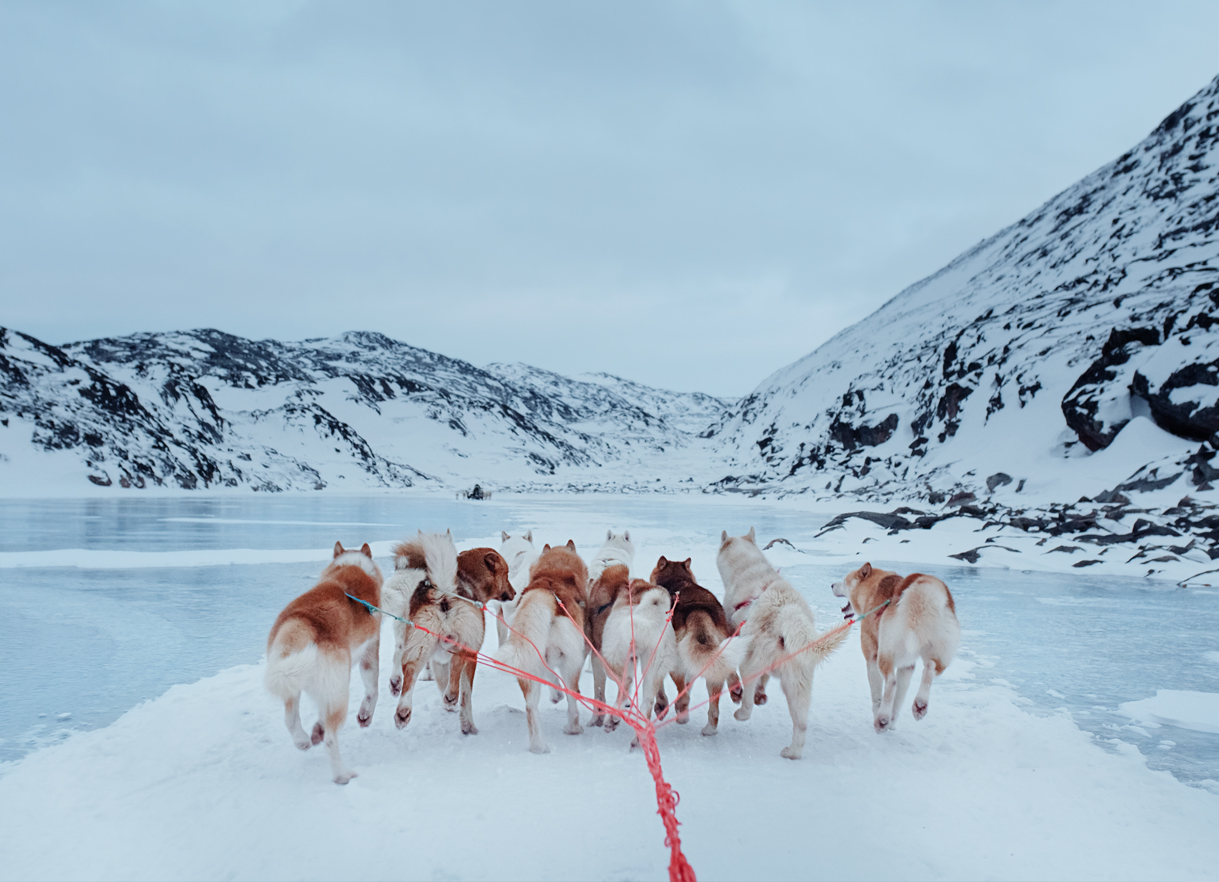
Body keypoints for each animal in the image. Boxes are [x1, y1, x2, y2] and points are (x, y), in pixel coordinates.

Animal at [264, 540, 382, 779]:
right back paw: (342, 775)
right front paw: (365, 715)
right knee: (331, 738)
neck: (352, 565)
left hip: (290, 680)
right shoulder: (370, 650)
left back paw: (303, 740)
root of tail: (303, 623)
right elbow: (372, 689)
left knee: (291, 719)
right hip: (339, 689)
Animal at [494, 540, 589, 755]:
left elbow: (550, 676)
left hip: (528, 664)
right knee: (572, 697)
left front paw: (555, 694)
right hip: (572, 663)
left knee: (531, 708)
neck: (553, 575)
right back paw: (573, 728)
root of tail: (544, 595)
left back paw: (538, 746)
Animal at [648, 557, 741, 735]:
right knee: (715, 705)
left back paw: (682, 715)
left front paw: (662, 706)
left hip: (678, 665)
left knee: (683, 696)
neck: (678, 581)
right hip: (716, 661)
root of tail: (697, 610)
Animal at [716, 526, 843, 760]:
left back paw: (742, 711)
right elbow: (765, 680)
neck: (748, 568)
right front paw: (762, 693)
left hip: (751, 663)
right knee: (801, 724)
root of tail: (787, 614)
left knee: (748, 703)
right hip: (798, 686)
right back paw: (792, 752)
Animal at [833, 560, 955, 735]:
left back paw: (881, 719)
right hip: (941, 656)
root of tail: (926, 593)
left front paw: (883, 717)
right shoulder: (907, 666)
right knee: (930, 668)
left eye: (844, 582)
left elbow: (877, 697)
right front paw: (891, 722)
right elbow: (898, 700)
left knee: (890, 682)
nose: (831, 585)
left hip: (886, 653)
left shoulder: (872, 657)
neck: (872, 590)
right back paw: (919, 705)